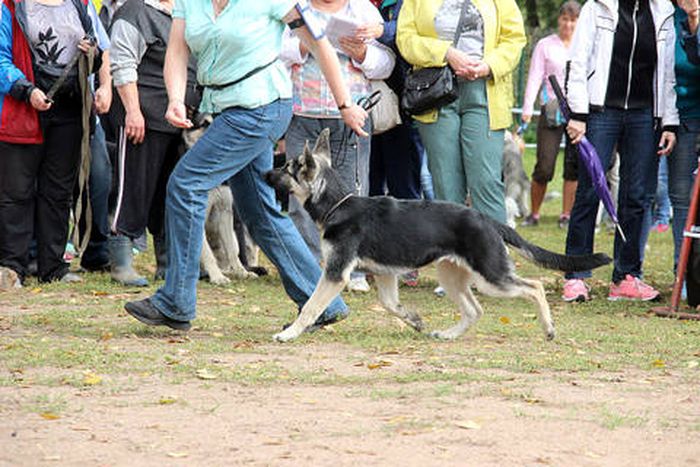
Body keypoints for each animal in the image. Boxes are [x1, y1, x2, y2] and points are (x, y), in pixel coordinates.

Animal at [266, 130, 608, 342]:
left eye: (288, 168)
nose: (265, 173)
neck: (339, 204)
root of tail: (486, 218)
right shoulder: (385, 275)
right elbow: (391, 305)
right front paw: (414, 320)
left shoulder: (335, 274)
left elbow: (310, 307)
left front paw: (289, 333)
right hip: (451, 276)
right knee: (475, 310)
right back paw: (448, 334)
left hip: (491, 277)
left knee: (534, 286)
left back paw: (548, 328)